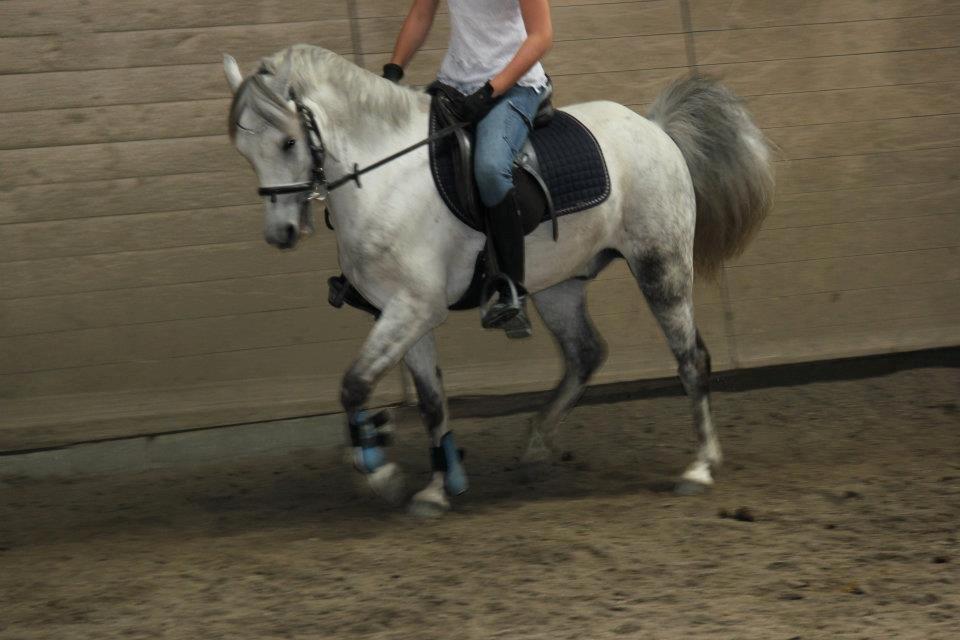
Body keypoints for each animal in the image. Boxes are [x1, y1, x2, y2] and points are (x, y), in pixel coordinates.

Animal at [222, 44, 773, 516]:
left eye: (288, 142)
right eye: (245, 152)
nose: (281, 234)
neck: (384, 178)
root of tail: (655, 128)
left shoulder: (414, 309)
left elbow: (354, 385)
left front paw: (383, 474)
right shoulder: (402, 312)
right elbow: (431, 402)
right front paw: (437, 488)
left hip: (661, 266)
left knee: (691, 358)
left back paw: (700, 467)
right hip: (558, 285)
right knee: (585, 353)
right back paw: (537, 440)